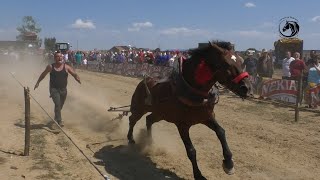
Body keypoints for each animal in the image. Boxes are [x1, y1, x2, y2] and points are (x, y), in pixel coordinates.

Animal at [126, 41, 251, 180]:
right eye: (226, 64)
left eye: (241, 61)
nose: (247, 88)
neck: (192, 90)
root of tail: (145, 79)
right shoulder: (182, 125)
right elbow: (191, 151)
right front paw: (198, 175)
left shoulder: (207, 117)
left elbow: (221, 132)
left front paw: (229, 163)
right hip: (139, 108)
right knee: (132, 119)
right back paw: (131, 138)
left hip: (161, 114)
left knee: (149, 119)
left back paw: (150, 142)